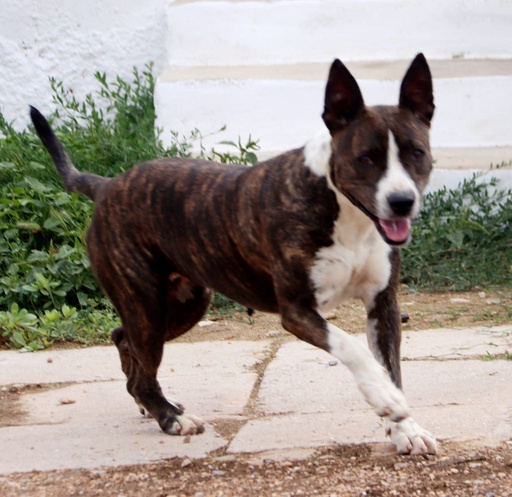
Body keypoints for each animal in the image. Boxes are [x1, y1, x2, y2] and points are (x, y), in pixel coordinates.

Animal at [30, 53, 437, 455]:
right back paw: (170, 417)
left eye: (417, 153)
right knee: (139, 361)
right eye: (366, 158)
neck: (347, 212)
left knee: (122, 338)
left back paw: (153, 404)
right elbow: (352, 346)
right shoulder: (298, 310)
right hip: (146, 304)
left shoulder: (382, 305)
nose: (402, 201)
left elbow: (393, 367)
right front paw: (383, 395)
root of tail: (108, 185)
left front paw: (406, 429)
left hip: (184, 304)